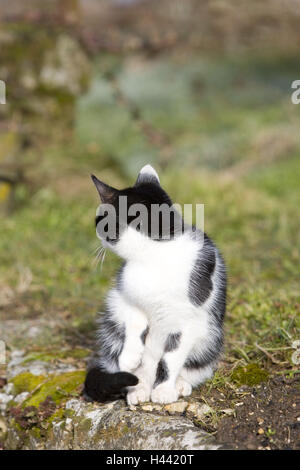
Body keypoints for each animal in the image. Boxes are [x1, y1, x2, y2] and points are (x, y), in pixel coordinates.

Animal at [83, 164, 226, 404]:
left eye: (101, 221)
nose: (98, 235)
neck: (154, 253)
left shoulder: (189, 321)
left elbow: (170, 359)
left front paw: (164, 390)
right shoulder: (123, 295)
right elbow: (134, 321)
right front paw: (130, 357)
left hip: (210, 339)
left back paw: (178, 385)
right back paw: (138, 389)